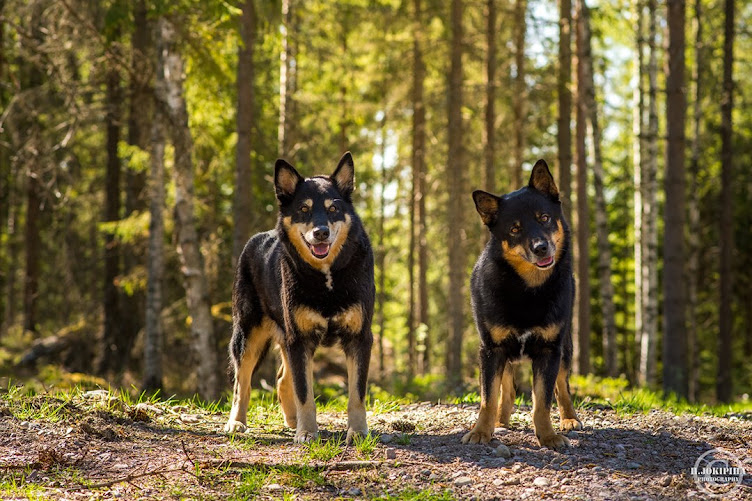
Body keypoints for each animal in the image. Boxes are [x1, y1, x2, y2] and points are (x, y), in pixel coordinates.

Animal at [225, 151, 374, 442]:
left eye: (333, 209)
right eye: (304, 210)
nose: (321, 232)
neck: (328, 277)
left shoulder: (359, 338)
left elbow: (357, 394)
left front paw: (358, 431)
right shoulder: (300, 340)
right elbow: (305, 392)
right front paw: (307, 433)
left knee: (283, 379)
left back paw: (292, 420)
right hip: (248, 335)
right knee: (242, 384)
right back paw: (236, 422)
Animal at [464, 160, 580, 450]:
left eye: (544, 218)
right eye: (515, 229)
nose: (541, 247)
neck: (527, 290)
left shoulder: (549, 350)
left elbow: (543, 401)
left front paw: (548, 436)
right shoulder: (491, 350)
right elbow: (488, 398)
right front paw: (481, 431)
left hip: (565, 347)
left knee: (562, 387)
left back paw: (570, 419)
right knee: (506, 389)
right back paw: (500, 420)